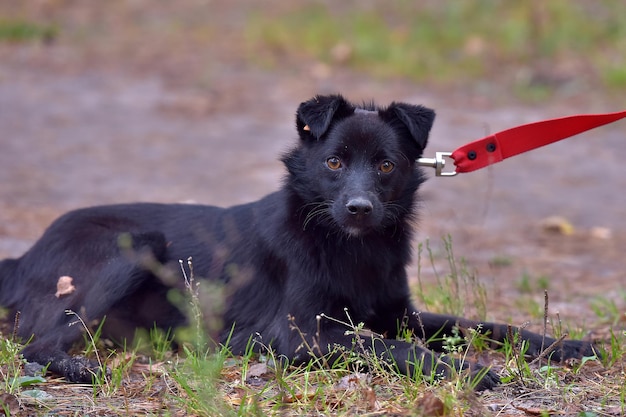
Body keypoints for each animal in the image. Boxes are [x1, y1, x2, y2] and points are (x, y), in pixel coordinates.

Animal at [0, 94, 592, 386]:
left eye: (386, 165)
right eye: (333, 162)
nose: (359, 208)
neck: (350, 247)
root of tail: (22, 256)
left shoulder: (398, 313)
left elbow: (478, 325)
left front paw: (563, 345)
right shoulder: (303, 335)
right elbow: (393, 348)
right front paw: (470, 372)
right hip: (134, 244)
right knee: (36, 344)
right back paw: (79, 367)